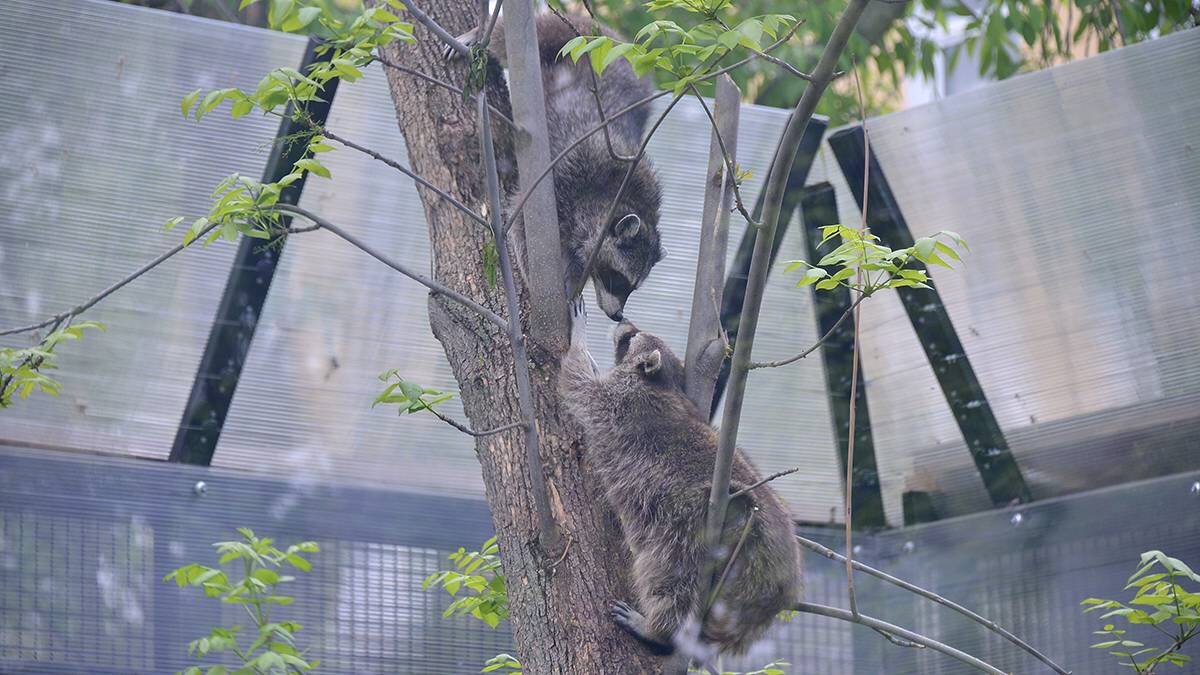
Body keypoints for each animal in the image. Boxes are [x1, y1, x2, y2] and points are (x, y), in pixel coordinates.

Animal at [456, 13, 672, 319]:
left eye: (633, 287)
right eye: (618, 280)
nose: (618, 316)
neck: (616, 195)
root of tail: (613, 37)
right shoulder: (565, 178)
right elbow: (521, 227)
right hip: (573, 39)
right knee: (531, 32)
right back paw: (481, 33)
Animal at [556, 306, 801, 658]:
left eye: (632, 337)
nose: (623, 321)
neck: (662, 381)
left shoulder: (617, 400)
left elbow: (576, 380)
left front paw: (579, 339)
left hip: (691, 526)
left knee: (670, 576)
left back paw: (659, 628)